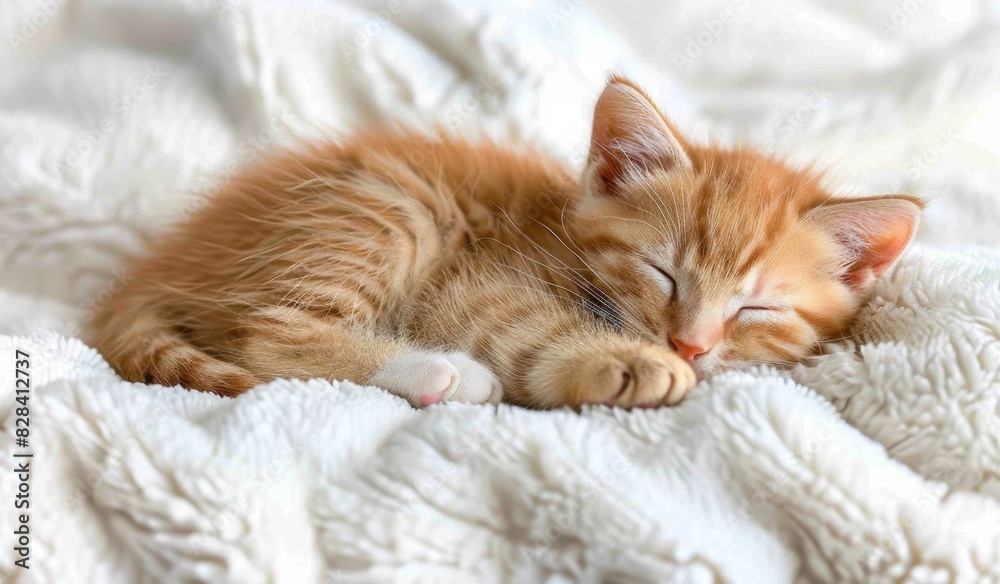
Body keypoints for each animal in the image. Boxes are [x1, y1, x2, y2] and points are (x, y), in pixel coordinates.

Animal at [84, 75, 920, 408]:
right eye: (664, 274)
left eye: (757, 310)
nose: (689, 344)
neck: (559, 231)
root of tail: (159, 262)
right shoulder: (472, 279)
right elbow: (523, 327)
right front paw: (624, 362)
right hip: (388, 207)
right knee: (263, 331)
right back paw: (438, 373)